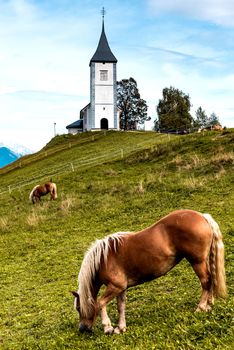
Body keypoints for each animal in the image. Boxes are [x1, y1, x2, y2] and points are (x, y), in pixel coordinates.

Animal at [72, 209, 227, 334]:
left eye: (79, 308)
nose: (82, 328)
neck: (103, 258)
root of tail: (202, 216)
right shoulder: (121, 288)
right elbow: (120, 306)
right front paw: (120, 328)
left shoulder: (115, 286)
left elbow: (100, 303)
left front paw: (108, 327)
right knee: (211, 279)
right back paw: (209, 305)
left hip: (197, 262)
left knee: (206, 281)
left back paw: (201, 307)